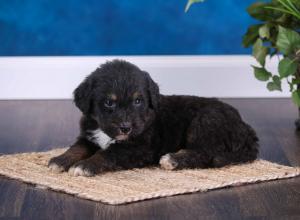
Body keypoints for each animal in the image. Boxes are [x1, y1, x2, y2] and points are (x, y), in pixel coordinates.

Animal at [48, 59, 258, 177]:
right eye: (109, 102)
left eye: (138, 101)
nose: (126, 128)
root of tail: (246, 127)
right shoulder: (88, 136)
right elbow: (76, 148)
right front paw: (60, 160)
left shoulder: (138, 147)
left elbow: (107, 153)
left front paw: (85, 165)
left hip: (205, 121)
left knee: (206, 153)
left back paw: (172, 159)